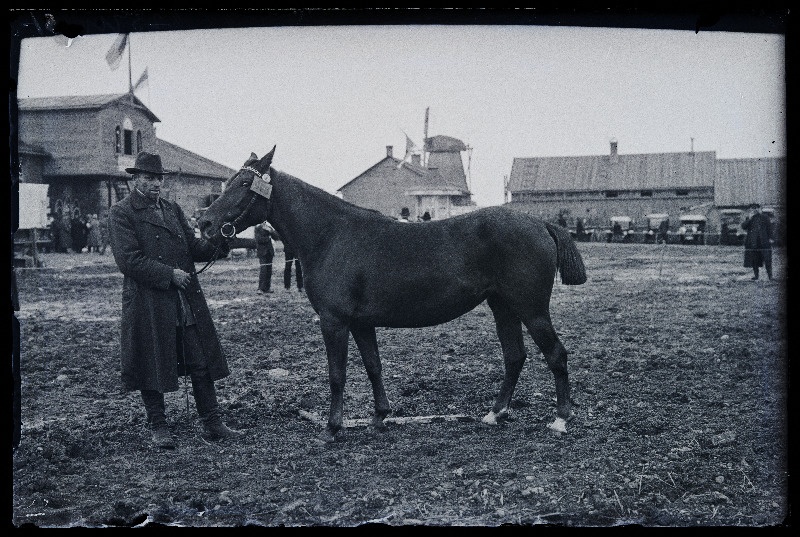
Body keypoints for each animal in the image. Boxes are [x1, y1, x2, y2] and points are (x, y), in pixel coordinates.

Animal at [198, 146, 588, 440]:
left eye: (244, 183)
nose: (204, 222)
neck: (332, 236)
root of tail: (540, 223)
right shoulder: (361, 323)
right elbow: (373, 366)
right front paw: (379, 417)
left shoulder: (334, 322)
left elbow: (337, 374)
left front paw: (332, 429)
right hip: (503, 306)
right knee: (514, 356)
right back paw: (496, 414)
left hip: (531, 309)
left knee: (556, 354)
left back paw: (560, 419)